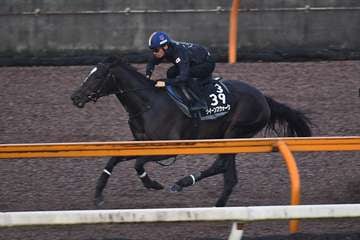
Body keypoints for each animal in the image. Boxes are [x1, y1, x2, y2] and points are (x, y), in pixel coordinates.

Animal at [70, 56, 312, 208]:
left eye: (97, 76)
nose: (75, 97)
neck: (148, 103)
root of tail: (264, 98)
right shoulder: (140, 142)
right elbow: (114, 158)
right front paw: (98, 195)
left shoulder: (170, 148)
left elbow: (138, 163)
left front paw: (153, 184)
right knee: (229, 176)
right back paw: (218, 206)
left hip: (235, 133)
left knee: (222, 165)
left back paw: (183, 182)